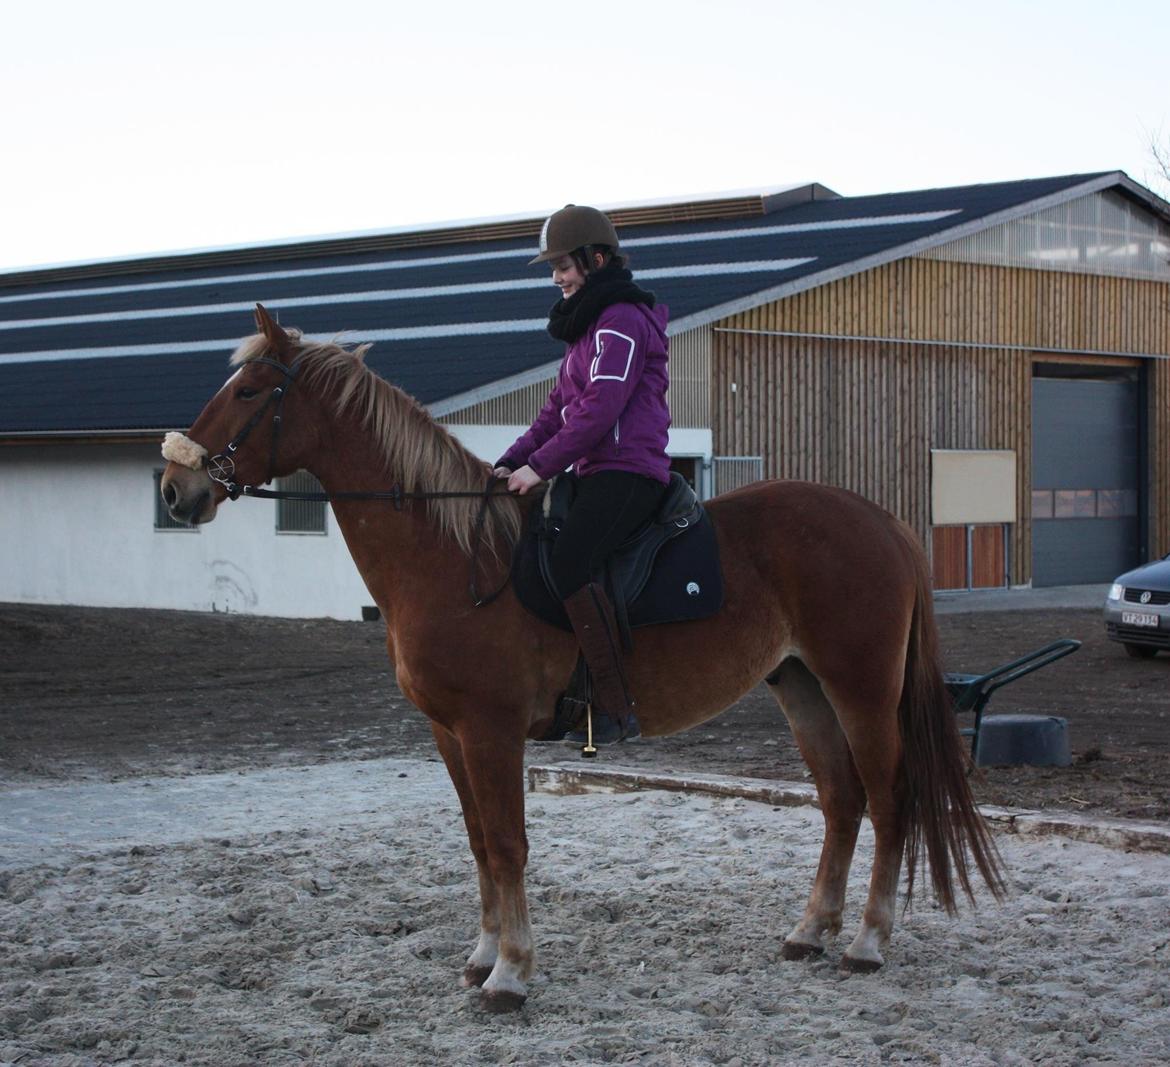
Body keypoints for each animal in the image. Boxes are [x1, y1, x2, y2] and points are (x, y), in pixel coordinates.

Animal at [160, 306, 1006, 1010]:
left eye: (249, 390)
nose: (175, 488)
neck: (454, 555)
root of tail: (883, 521)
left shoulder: (491, 729)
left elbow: (507, 843)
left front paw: (510, 973)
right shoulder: (448, 732)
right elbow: (479, 841)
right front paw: (482, 954)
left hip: (861, 690)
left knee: (890, 800)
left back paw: (866, 941)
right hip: (802, 687)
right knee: (841, 800)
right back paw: (810, 930)